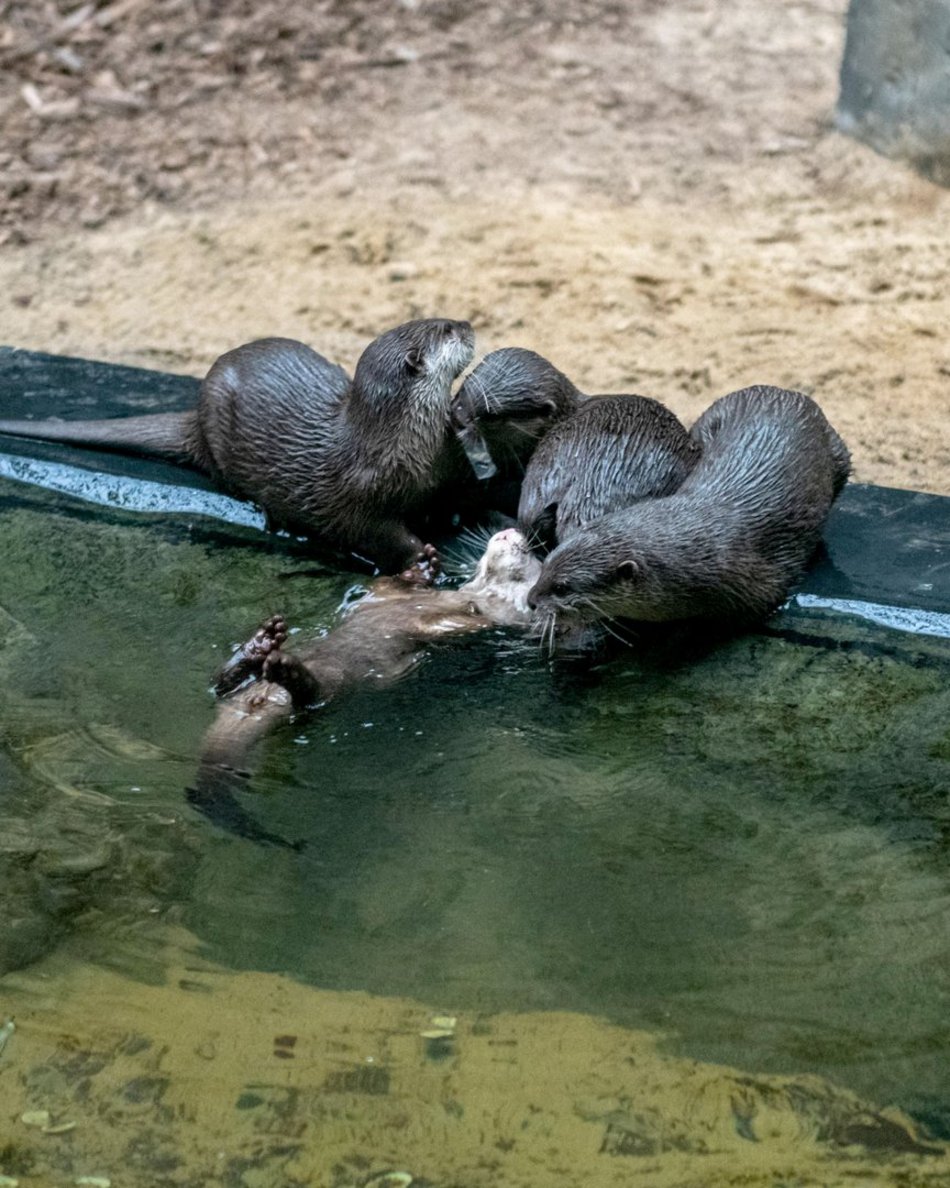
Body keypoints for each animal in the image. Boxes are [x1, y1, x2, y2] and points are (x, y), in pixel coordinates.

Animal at [0, 320, 475, 570]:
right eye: (447, 330)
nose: (469, 324)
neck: (402, 444)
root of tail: (194, 414)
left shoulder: (450, 463)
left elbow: (463, 495)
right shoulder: (361, 497)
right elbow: (375, 534)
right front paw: (421, 558)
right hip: (217, 416)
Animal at [188, 529, 541, 845]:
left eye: (531, 553)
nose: (509, 531)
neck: (478, 596)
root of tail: (258, 703)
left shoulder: (491, 619)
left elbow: (461, 624)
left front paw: (455, 617)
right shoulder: (395, 594)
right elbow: (388, 585)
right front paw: (423, 566)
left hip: (334, 681)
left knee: (310, 697)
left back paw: (287, 669)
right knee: (219, 686)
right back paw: (257, 647)